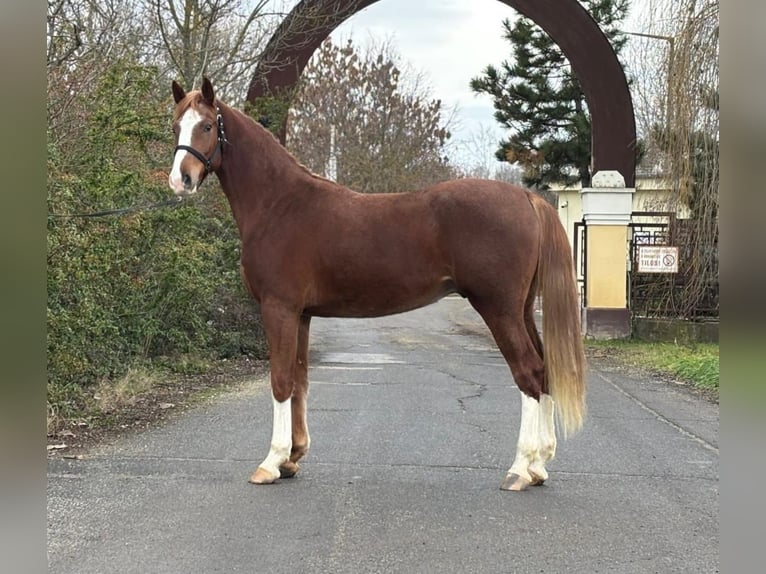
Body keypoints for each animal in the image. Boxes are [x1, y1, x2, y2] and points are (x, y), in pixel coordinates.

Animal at [170, 79, 588, 492]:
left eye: (206, 126)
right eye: (176, 126)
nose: (181, 179)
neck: (280, 205)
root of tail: (527, 197)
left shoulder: (279, 308)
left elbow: (281, 381)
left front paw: (271, 462)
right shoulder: (301, 315)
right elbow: (300, 380)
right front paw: (292, 458)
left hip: (498, 309)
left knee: (529, 372)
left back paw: (519, 469)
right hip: (521, 309)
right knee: (544, 370)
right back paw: (538, 467)